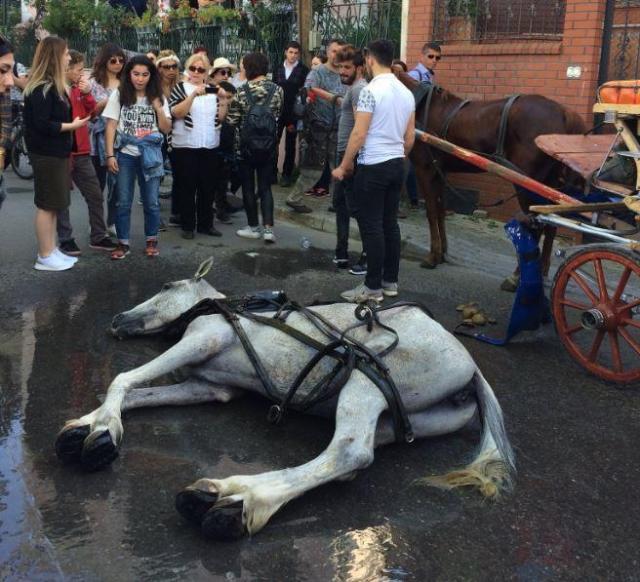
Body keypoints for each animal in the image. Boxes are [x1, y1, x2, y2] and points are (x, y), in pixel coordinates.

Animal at [54, 258, 515, 541]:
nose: (118, 319)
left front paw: (99, 431)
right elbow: (138, 393)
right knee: (353, 457)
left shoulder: (201, 342)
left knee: (350, 451)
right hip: (402, 416)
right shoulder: (210, 387)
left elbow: (122, 380)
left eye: (167, 285)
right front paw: (92, 427)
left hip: (366, 380)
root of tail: (471, 369)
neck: (226, 310)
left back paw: (235, 499)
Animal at [398, 71, 587, 285]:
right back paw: (542, 272)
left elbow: (431, 213)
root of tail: (563, 112)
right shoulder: (439, 172)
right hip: (549, 184)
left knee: (534, 227)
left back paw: (517, 277)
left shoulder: (425, 170)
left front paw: (432, 257)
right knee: (550, 225)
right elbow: (439, 212)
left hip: (526, 183)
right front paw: (442, 253)